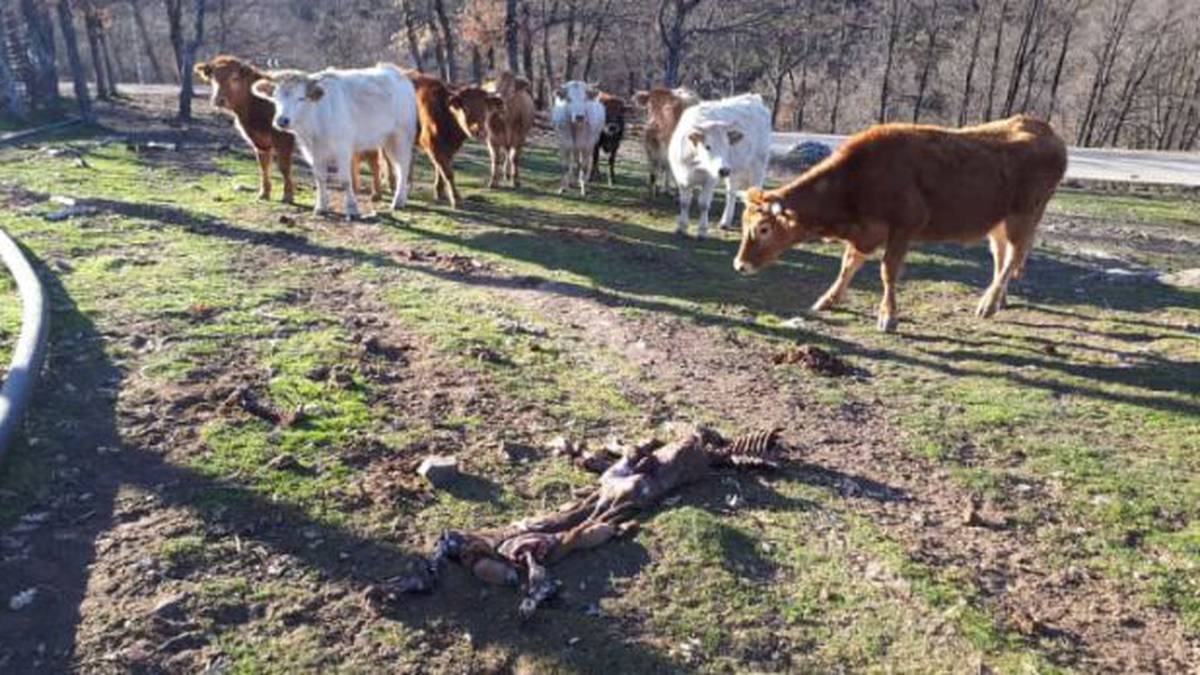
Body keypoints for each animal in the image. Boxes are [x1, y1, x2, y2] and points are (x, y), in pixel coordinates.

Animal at [194, 55, 295, 204]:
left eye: (234, 77)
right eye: (213, 78)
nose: (219, 100)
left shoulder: (283, 139)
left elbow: (284, 167)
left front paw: (288, 196)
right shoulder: (260, 142)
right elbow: (264, 166)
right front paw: (264, 193)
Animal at [250, 63, 420, 218]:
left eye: (301, 98)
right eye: (275, 97)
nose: (282, 120)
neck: (315, 118)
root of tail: (398, 73)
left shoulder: (343, 149)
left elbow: (345, 179)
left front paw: (352, 208)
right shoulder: (314, 152)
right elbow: (320, 178)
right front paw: (321, 207)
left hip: (401, 136)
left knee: (403, 166)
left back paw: (398, 201)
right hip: (387, 140)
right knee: (398, 166)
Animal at [667, 91, 768, 239]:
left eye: (727, 146)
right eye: (707, 146)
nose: (723, 170)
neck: (695, 163)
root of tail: (753, 97)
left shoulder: (710, 180)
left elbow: (703, 204)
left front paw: (702, 231)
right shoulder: (682, 178)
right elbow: (685, 203)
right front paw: (681, 227)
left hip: (758, 166)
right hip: (734, 172)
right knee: (731, 193)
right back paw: (725, 222)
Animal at [734, 114, 1065, 331]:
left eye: (763, 229)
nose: (740, 265)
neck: (857, 180)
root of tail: (1043, 128)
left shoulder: (903, 229)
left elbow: (888, 272)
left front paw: (888, 316)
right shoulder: (866, 232)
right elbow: (848, 264)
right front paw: (828, 299)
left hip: (1023, 216)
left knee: (1012, 258)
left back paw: (989, 303)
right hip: (997, 222)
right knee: (1001, 257)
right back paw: (999, 299)